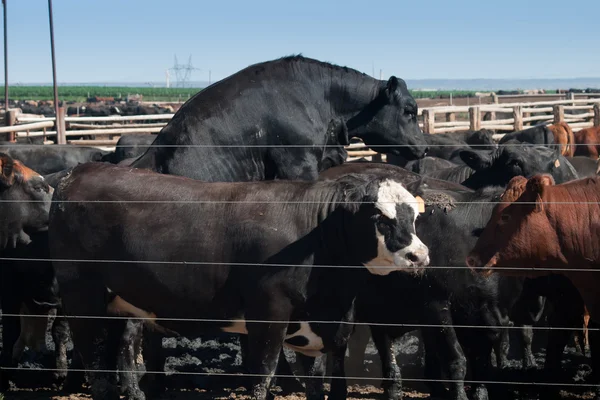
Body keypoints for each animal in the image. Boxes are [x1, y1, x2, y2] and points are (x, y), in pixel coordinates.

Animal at [49, 162, 428, 400]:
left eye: (414, 215)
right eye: (379, 217)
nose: (420, 256)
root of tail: (78, 172)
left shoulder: (322, 330)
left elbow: (322, 385)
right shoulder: (269, 317)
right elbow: (262, 378)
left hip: (119, 303)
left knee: (116, 352)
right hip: (83, 298)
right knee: (95, 364)